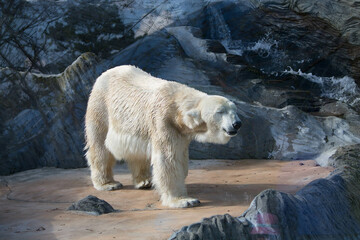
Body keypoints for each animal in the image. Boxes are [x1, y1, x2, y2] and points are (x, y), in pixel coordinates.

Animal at [84, 65, 242, 208]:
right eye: (220, 111)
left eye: (234, 110)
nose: (237, 124)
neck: (176, 105)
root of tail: (105, 73)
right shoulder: (163, 121)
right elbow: (168, 159)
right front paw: (184, 200)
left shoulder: (180, 132)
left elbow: (181, 157)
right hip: (100, 106)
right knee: (100, 145)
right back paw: (108, 183)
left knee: (136, 153)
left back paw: (144, 181)